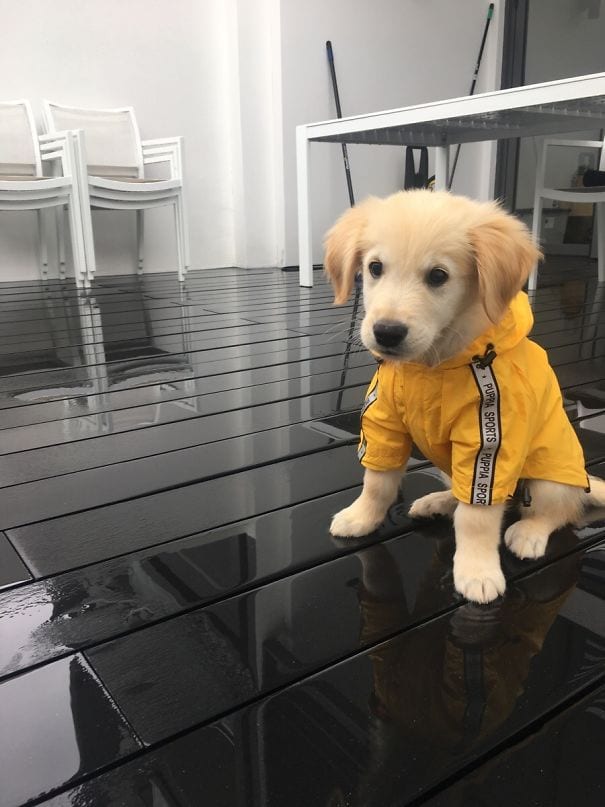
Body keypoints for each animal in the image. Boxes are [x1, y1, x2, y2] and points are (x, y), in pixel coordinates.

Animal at [324, 191, 604, 608]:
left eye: (438, 276)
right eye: (374, 268)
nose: (386, 333)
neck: (428, 369)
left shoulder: (487, 441)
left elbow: (477, 515)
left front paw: (477, 572)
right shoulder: (383, 422)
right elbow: (377, 481)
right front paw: (362, 517)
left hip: (552, 476)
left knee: (557, 511)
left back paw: (529, 532)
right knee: (459, 495)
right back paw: (437, 502)